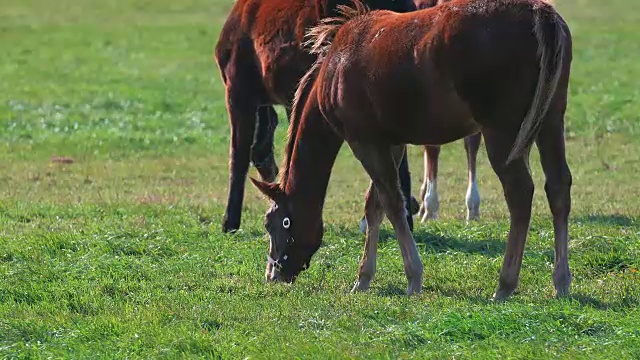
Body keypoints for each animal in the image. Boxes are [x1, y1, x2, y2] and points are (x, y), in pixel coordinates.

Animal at [252, 0, 572, 300]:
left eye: (273, 224)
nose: (273, 274)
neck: (332, 71)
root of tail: (540, 12)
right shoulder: (390, 143)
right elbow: (374, 206)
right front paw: (363, 278)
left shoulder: (364, 141)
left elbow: (393, 204)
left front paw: (413, 277)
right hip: (550, 120)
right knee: (558, 187)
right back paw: (561, 281)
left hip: (502, 131)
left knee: (520, 193)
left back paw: (505, 284)